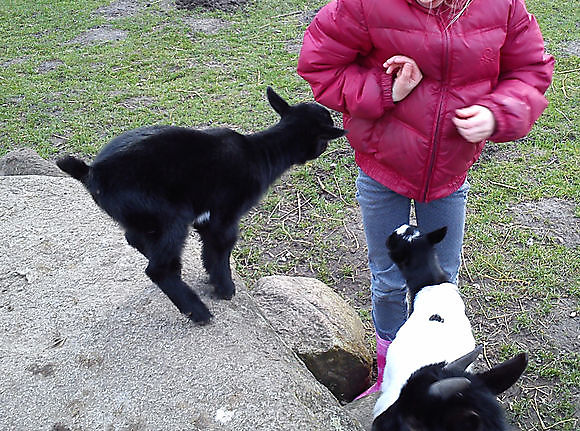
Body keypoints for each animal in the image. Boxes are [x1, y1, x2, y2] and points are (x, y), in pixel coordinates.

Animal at [55, 88, 344, 324]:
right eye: (324, 139)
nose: (323, 149)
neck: (261, 152)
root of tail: (92, 172)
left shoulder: (207, 217)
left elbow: (209, 250)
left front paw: (213, 280)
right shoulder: (226, 215)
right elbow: (222, 248)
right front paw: (225, 289)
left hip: (143, 216)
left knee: (135, 239)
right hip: (171, 214)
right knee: (158, 269)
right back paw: (197, 311)